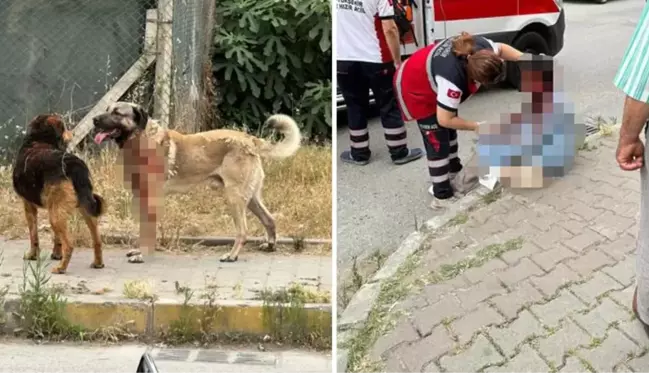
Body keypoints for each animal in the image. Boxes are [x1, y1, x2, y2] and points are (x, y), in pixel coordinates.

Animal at [12, 113, 106, 274]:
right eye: (64, 126)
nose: (72, 133)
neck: (38, 140)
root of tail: (74, 165)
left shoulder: (29, 206)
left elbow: (33, 235)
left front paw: (32, 255)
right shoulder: (51, 206)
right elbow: (56, 238)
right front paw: (56, 254)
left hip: (55, 216)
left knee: (70, 245)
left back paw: (61, 268)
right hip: (83, 208)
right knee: (97, 240)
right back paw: (98, 263)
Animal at [90, 101, 302, 262]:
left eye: (117, 113)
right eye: (107, 109)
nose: (94, 120)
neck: (141, 139)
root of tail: (249, 139)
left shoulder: (151, 199)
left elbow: (148, 230)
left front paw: (143, 254)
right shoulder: (141, 198)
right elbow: (143, 230)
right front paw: (139, 250)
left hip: (235, 197)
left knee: (243, 230)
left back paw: (232, 255)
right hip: (250, 198)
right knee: (269, 219)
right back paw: (270, 246)